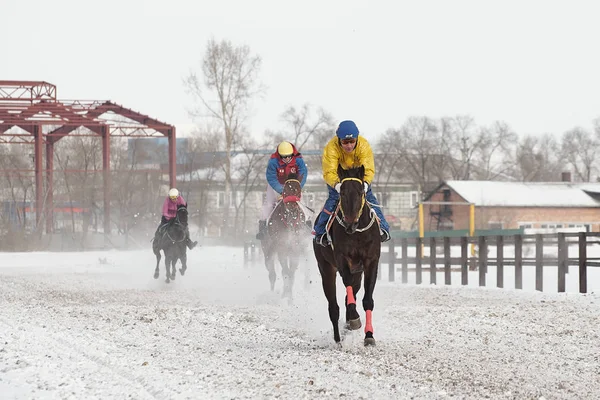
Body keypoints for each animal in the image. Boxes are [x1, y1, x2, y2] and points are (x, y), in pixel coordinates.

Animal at [314, 164, 380, 346]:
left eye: (360, 191)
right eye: (342, 192)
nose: (350, 223)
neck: (356, 233)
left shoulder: (371, 261)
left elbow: (368, 300)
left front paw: (369, 335)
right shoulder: (342, 259)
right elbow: (347, 284)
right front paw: (355, 319)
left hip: (358, 272)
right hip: (326, 269)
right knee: (333, 306)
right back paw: (338, 339)